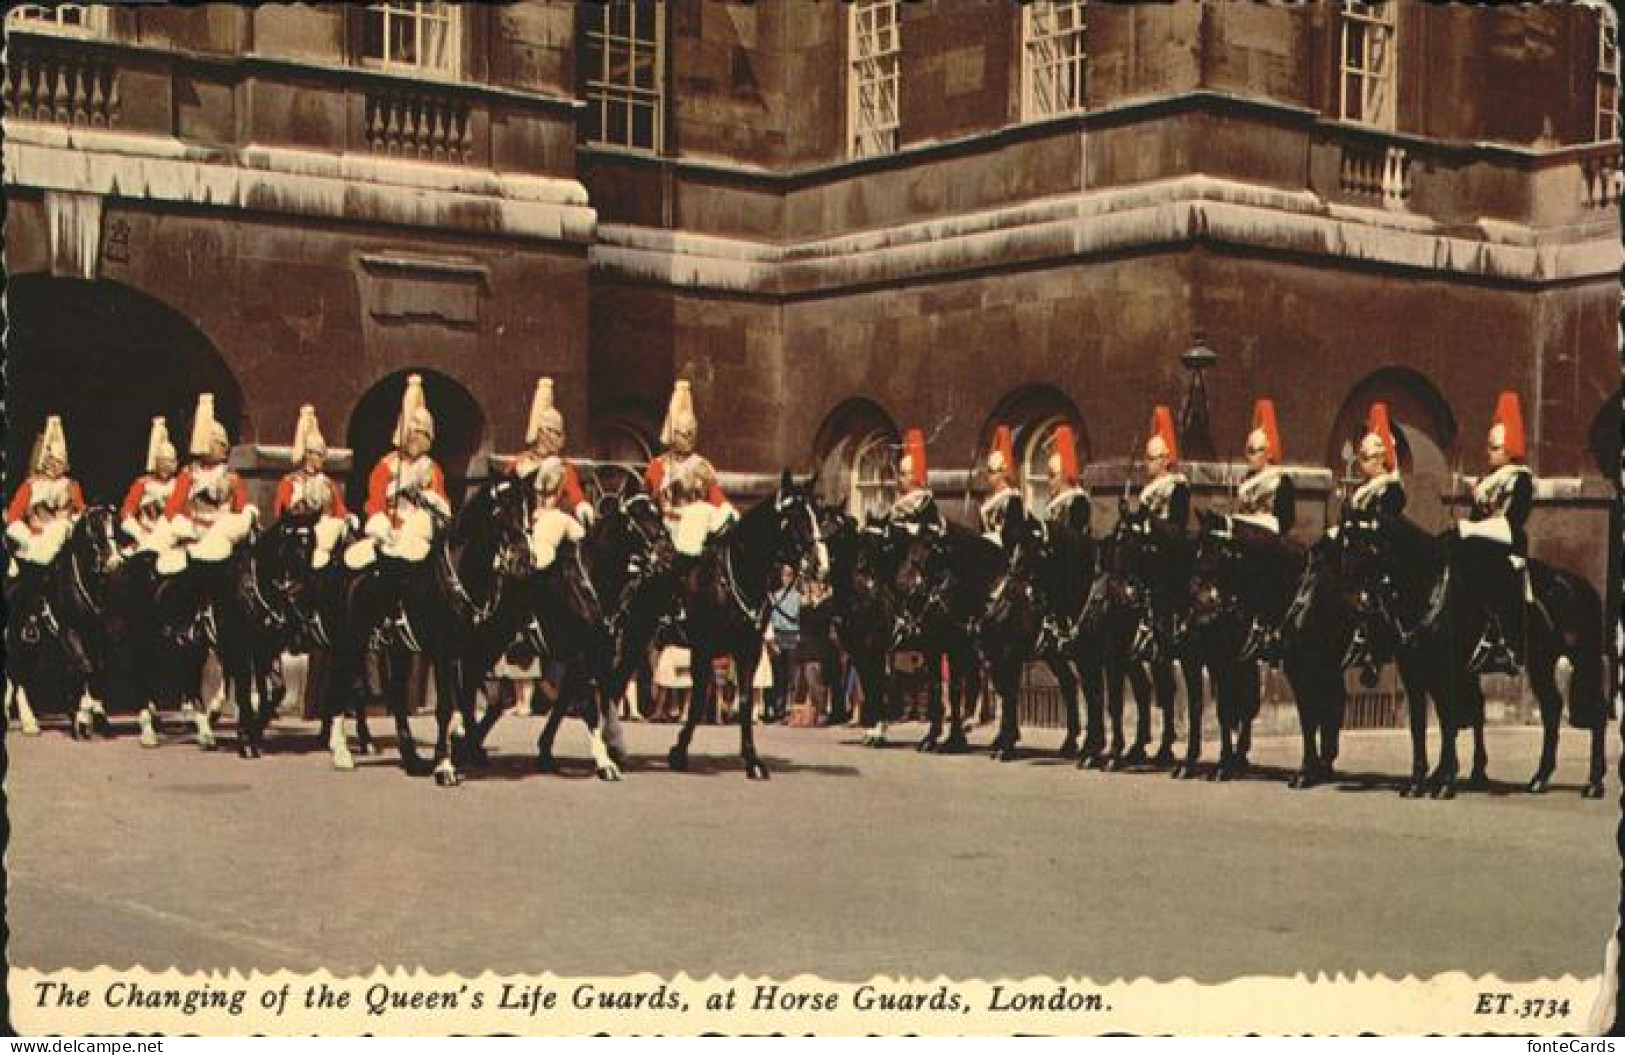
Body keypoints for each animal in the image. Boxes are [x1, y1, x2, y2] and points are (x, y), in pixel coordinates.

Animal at [666, 474, 832, 777]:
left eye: (818, 514)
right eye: (795, 517)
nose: (822, 566)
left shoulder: (749, 649)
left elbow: (744, 700)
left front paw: (752, 760)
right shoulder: (702, 650)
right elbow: (697, 702)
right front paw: (679, 751)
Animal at [1332, 513, 1612, 799]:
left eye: (1369, 543)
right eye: (1344, 542)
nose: (1349, 596)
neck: (1428, 589)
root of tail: (1580, 585)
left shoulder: (1445, 671)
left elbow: (1449, 721)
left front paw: (1445, 782)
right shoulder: (1415, 673)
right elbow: (1420, 725)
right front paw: (1418, 782)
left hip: (1584, 658)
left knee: (1598, 712)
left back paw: (1593, 783)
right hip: (1540, 662)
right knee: (1552, 708)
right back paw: (1540, 777)